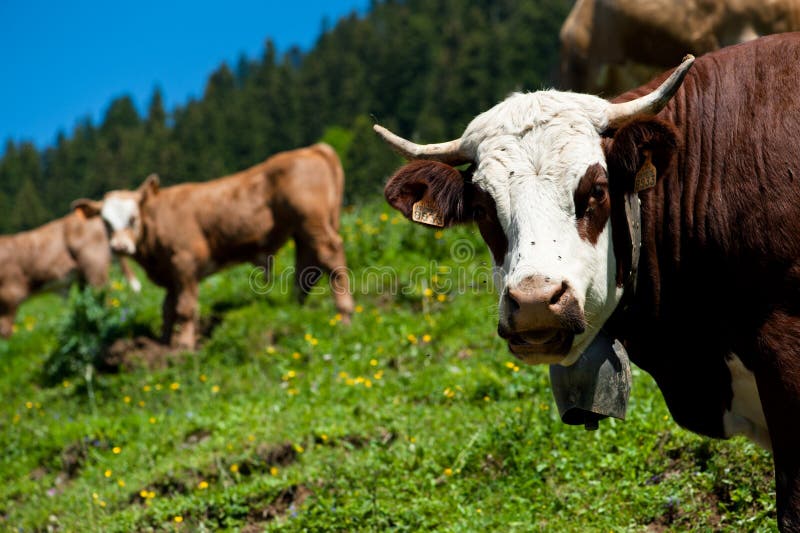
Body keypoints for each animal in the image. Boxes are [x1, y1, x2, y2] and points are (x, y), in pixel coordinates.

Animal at [73, 141, 354, 350]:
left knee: (330, 255)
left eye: (133, 218)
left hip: (312, 221)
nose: (119, 246)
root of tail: (313, 148)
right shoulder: (170, 271)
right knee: (307, 265)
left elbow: (185, 308)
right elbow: (167, 309)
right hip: (302, 228)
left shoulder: (184, 261)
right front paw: (162, 344)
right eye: (105, 222)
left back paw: (345, 315)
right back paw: (296, 308)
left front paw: (183, 346)